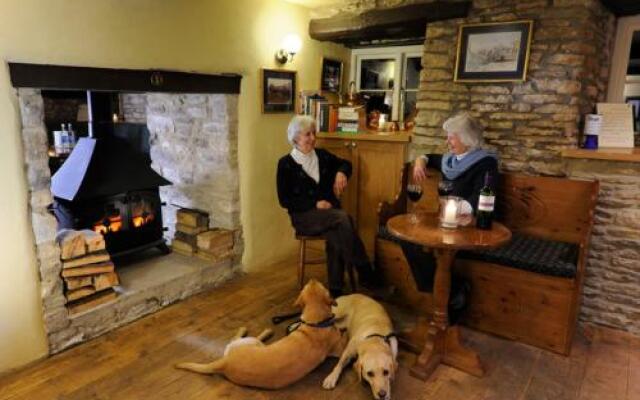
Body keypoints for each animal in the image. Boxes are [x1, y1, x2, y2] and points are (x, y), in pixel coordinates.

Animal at [174, 280, 344, 390]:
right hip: (253, 342)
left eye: (314, 284)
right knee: (241, 337)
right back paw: (257, 330)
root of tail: (225, 362)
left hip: (247, 344)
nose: (312, 279)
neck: (317, 322)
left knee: (234, 339)